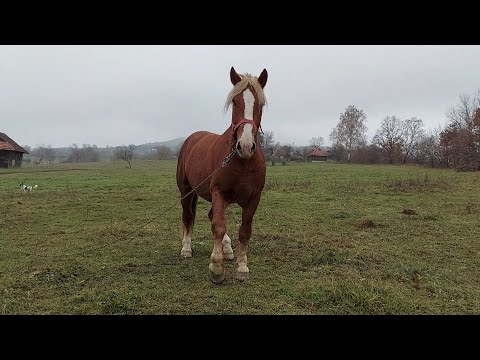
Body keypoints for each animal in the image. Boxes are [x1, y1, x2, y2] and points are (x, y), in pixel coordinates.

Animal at [176, 67, 268, 284]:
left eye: (260, 103)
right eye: (235, 101)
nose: (245, 146)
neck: (242, 161)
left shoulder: (254, 198)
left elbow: (244, 231)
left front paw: (242, 267)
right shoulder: (218, 193)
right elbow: (218, 226)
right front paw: (216, 269)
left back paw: (227, 250)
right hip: (186, 191)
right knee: (187, 216)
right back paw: (186, 249)